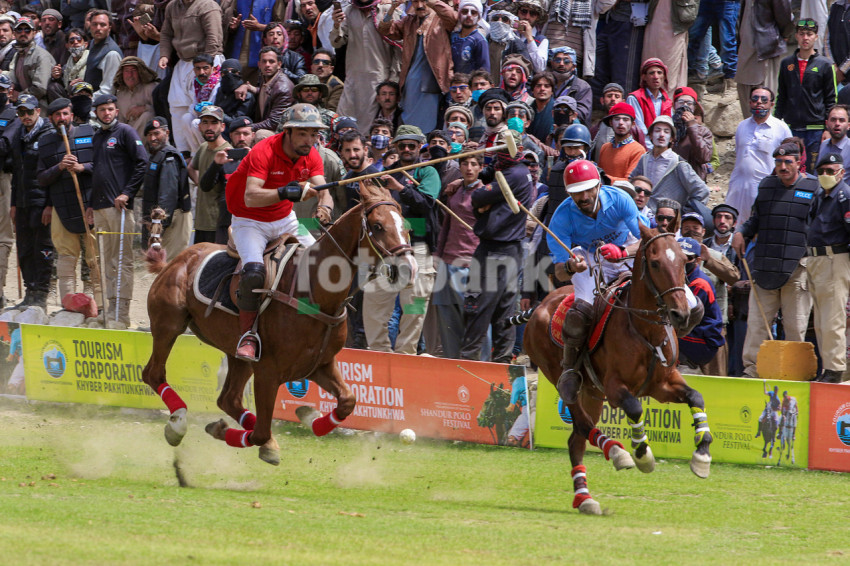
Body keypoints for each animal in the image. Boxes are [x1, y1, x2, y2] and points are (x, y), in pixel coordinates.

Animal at [142, 184, 414, 468]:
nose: (408, 269)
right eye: (378, 226)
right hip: (168, 324)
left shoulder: (319, 365)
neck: (316, 293)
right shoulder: (268, 372)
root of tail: (175, 260)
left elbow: (347, 402)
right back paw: (177, 424)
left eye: (406, 225)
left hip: (237, 354)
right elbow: (261, 432)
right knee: (154, 373)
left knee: (229, 398)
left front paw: (306, 415)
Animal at [524, 224, 708, 516]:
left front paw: (702, 455)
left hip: (591, 392)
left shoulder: (662, 384)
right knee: (580, 417)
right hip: (559, 376)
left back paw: (585, 499)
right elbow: (634, 408)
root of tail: (538, 306)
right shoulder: (614, 387)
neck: (646, 331)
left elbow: (696, 397)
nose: (681, 314)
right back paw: (616, 452)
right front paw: (643, 455)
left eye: (682, 260)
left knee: (576, 439)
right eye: (655, 263)